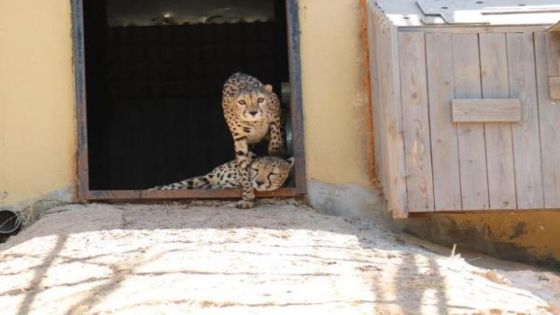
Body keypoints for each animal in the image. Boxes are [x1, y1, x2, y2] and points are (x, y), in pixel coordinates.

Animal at [222, 73, 284, 209]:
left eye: (260, 100)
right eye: (242, 102)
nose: (253, 112)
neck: (254, 122)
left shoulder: (275, 113)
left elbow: (276, 138)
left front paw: (275, 153)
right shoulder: (239, 139)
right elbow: (243, 166)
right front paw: (247, 196)